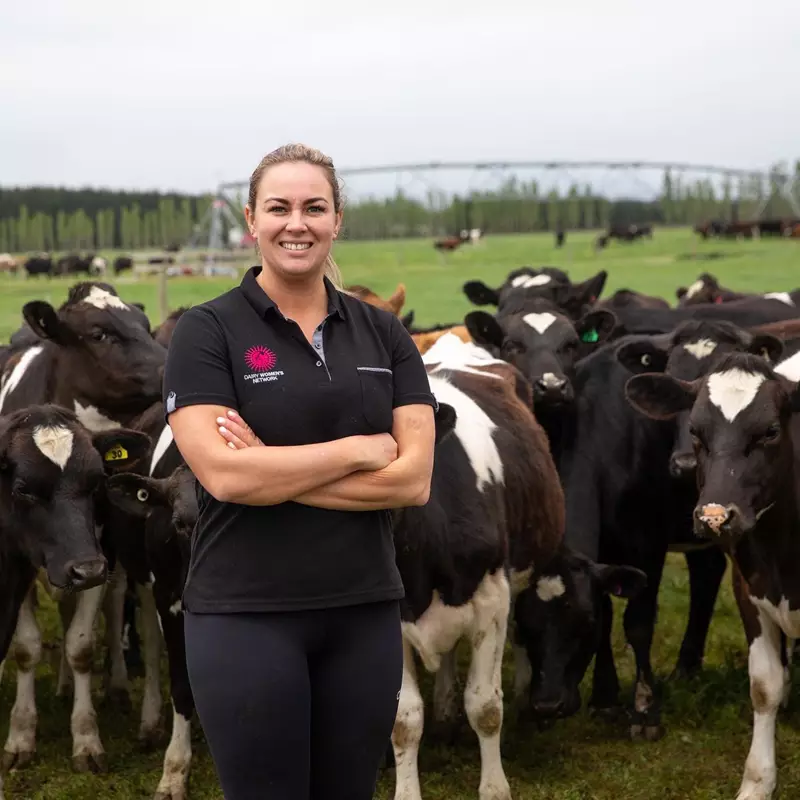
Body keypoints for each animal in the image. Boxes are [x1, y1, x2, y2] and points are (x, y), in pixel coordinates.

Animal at [0, 282, 166, 776]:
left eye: (144, 324)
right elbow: (26, 647)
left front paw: (86, 738)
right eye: (99, 334)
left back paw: (111, 687)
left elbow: (80, 644)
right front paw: (21, 734)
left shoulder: (97, 553)